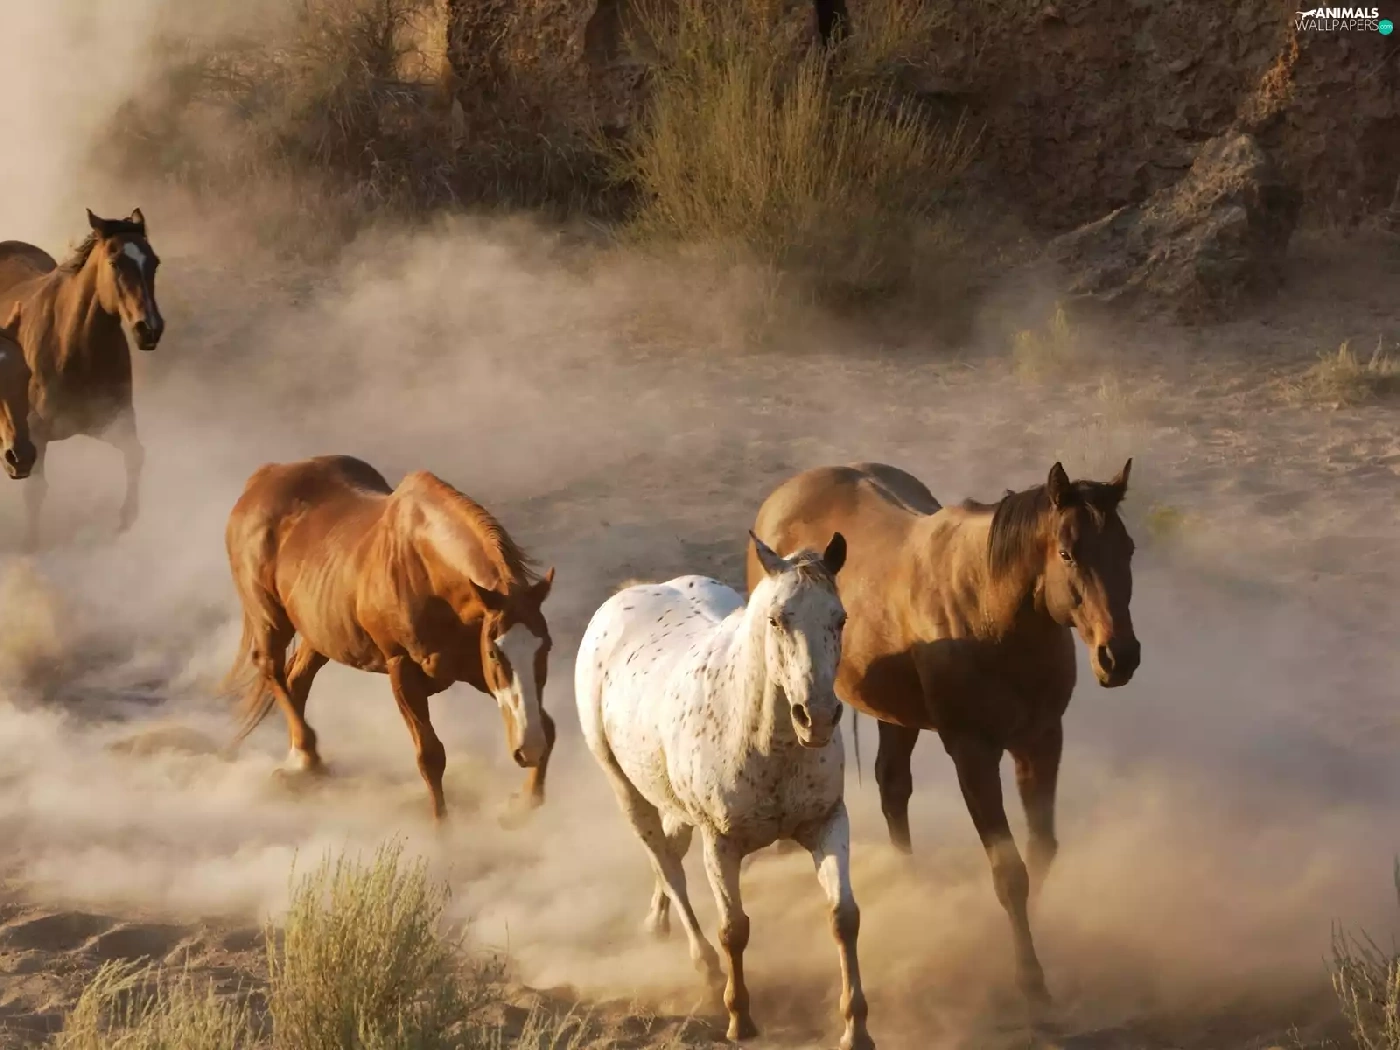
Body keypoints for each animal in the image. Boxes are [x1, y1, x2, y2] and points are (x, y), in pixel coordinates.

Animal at [0, 209, 165, 549]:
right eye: (115, 263)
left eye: (154, 262)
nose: (150, 329)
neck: (73, 347)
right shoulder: (32, 434)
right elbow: (34, 491)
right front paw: (31, 545)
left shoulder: (114, 422)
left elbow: (136, 455)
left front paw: (125, 521)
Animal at [222, 455, 557, 823]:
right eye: (496, 653)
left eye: (546, 647)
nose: (528, 748)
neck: (427, 572)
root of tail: (263, 478)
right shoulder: (404, 670)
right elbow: (430, 756)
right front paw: (443, 831)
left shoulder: (472, 669)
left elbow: (549, 726)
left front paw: (522, 803)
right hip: (270, 618)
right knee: (271, 669)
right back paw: (305, 757)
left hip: (319, 631)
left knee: (297, 679)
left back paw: (303, 764)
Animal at [575, 533, 874, 1050]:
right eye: (776, 619)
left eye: (839, 618)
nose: (816, 718)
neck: (764, 742)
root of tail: (627, 596)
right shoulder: (721, 843)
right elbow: (734, 930)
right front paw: (740, 1019)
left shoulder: (827, 822)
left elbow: (844, 918)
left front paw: (856, 1028)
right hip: (626, 791)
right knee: (669, 867)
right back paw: (705, 966)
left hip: (672, 801)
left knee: (671, 852)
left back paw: (656, 922)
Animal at [748, 460, 1140, 1010]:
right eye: (1067, 553)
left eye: (1127, 549)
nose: (1119, 656)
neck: (992, 613)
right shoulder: (972, 753)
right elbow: (1009, 871)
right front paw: (1029, 977)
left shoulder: (1041, 741)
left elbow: (1041, 850)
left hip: (897, 716)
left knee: (893, 788)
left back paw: (911, 883)